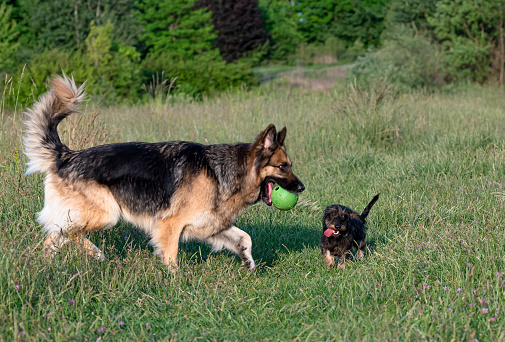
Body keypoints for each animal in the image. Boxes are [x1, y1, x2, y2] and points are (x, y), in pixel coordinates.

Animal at [23, 75, 304, 270]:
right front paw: (175, 282)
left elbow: (244, 238)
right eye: (283, 167)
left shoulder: (212, 225)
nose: (302, 188)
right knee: (59, 234)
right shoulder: (170, 225)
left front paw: (248, 261)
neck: (221, 172)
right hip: (107, 213)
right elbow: (171, 257)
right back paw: (91, 255)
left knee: (57, 235)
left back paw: (61, 263)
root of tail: (67, 156)